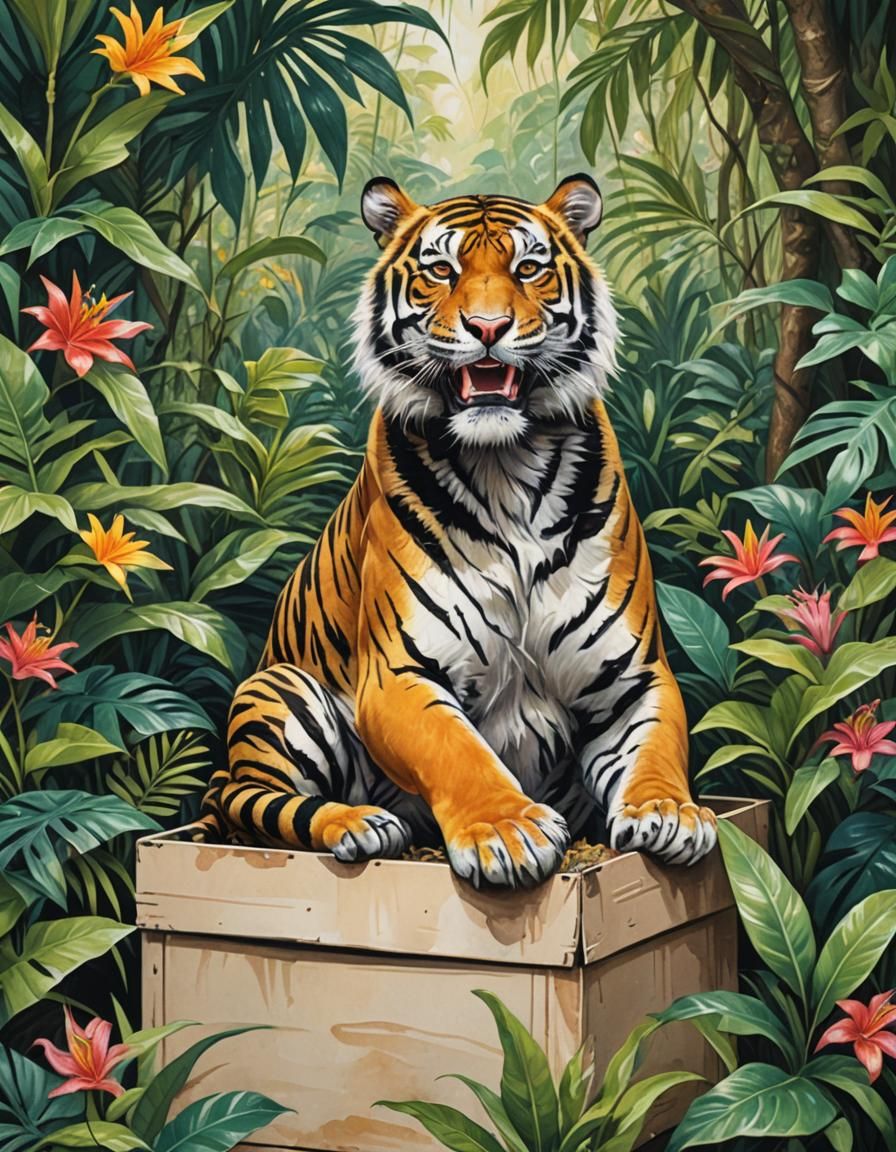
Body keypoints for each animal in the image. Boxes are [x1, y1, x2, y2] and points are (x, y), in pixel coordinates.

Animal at [192, 173, 717, 888]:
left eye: (528, 268)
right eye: (441, 271)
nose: (488, 327)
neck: (507, 467)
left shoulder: (634, 676)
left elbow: (657, 746)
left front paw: (669, 812)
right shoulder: (398, 672)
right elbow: (457, 749)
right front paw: (508, 831)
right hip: (280, 688)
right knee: (252, 803)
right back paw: (358, 825)